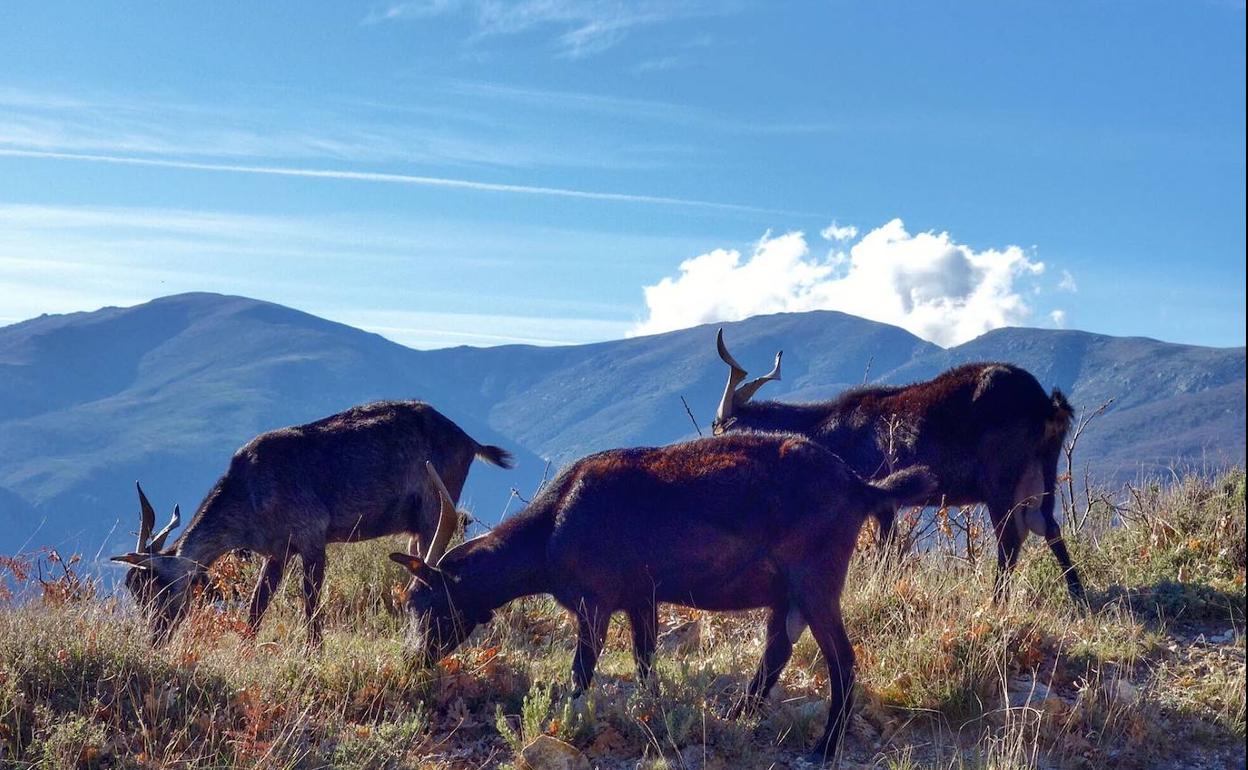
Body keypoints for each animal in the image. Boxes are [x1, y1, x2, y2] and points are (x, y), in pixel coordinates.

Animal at [108, 399, 511, 643]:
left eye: (159, 591)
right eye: (135, 591)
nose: (154, 639)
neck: (250, 494)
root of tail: (470, 442)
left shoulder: (312, 537)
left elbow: (310, 604)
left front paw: (313, 651)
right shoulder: (277, 551)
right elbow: (257, 604)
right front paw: (246, 647)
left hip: (434, 508)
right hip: (415, 524)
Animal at [394, 431, 933, 763]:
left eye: (423, 602)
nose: (414, 659)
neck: (550, 534)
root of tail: (859, 487)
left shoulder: (595, 599)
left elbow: (581, 671)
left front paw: (567, 723)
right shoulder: (642, 598)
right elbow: (645, 660)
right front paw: (652, 714)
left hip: (816, 576)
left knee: (842, 658)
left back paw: (824, 747)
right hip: (787, 590)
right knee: (779, 646)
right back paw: (739, 714)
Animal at [713, 326, 1083, 596]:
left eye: (720, 427)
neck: (829, 428)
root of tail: (1045, 404)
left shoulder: (880, 498)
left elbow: (885, 552)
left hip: (1001, 480)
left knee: (1010, 536)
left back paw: (996, 601)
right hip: (1042, 471)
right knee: (1047, 525)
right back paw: (1078, 597)